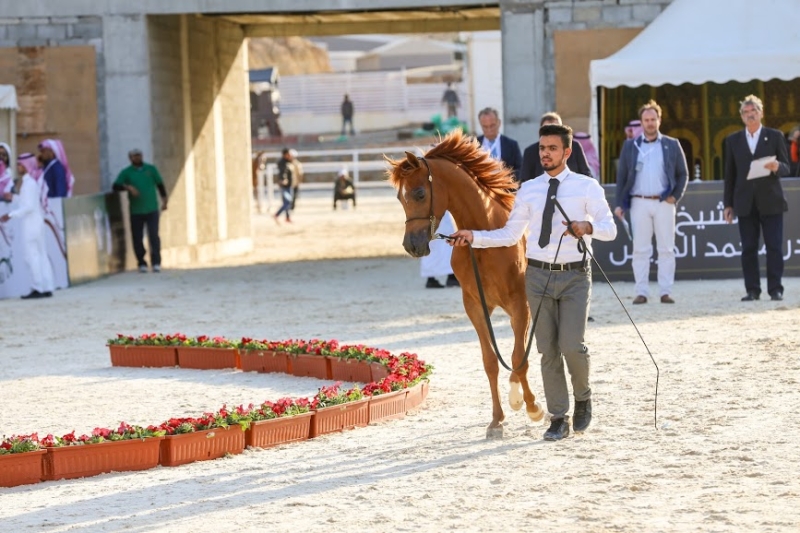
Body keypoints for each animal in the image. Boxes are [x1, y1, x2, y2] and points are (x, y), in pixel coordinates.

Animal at [386, 129, 544, 436]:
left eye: (419, 193)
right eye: (399, 198)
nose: (411, 246)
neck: (484, 238)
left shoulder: (520, 304)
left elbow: (519, 358)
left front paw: (531, 406)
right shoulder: (475, 306)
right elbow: (491, 361)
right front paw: (497, 419)